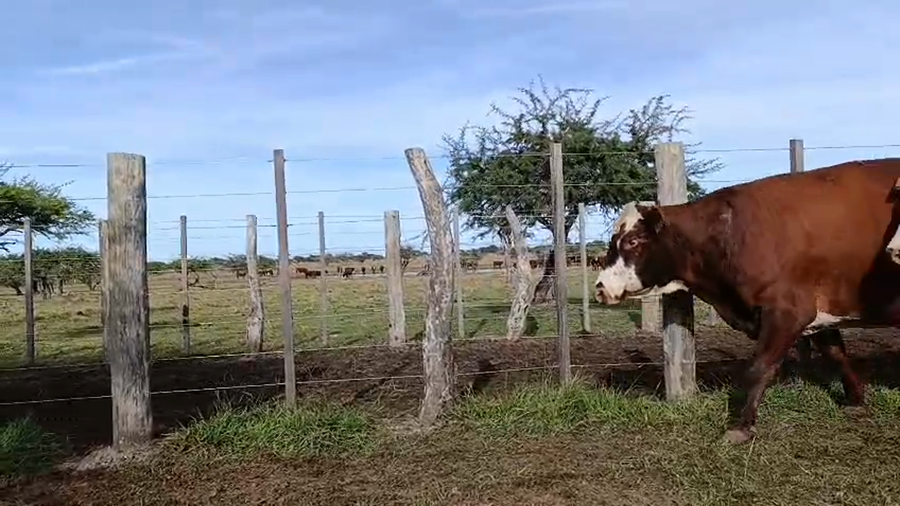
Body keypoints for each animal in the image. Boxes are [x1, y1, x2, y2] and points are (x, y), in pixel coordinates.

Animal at [593, 158, 900, 445]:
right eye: (613, 239)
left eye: (633, 241)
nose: (600, 287)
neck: (729, 232)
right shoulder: (816, 312)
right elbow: (835, 353)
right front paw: (855, 399)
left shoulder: (788, 311)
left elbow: (760, 367)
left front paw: (741, 426)